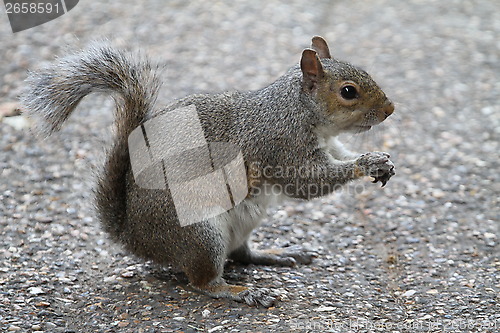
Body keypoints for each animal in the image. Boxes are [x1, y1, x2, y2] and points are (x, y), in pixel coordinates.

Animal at [21, 35, 394, 306]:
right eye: (348, 92)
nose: (390, 109)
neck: (295, 108)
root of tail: (134, 237)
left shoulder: (329, 145)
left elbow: (341, 155)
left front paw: (381, 160)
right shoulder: (279, 145)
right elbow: (305, 183)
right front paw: (365, 164)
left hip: (243, 224)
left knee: (242, 255)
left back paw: (276, 254)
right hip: (200, 233)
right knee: (202, 282)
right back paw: (240, 291)